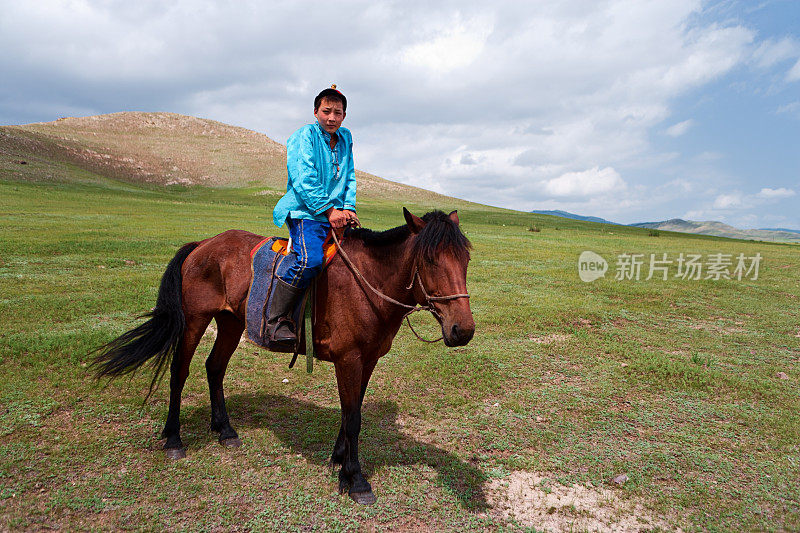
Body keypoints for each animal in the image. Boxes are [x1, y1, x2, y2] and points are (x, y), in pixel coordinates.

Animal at [93, 207, 472, 502]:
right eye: (430, 260)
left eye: (466, 259)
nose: (463, 330)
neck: (369, 283)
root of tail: (202, 245)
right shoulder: (349, 359)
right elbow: (352, 419)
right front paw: (356, 480)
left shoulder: (368, 360)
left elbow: (352, 411)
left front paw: (338, 461)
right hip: (194, 321)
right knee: (179, 373)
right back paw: (173, 439)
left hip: (231, 322)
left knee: (214, 367)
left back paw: (225, 431)